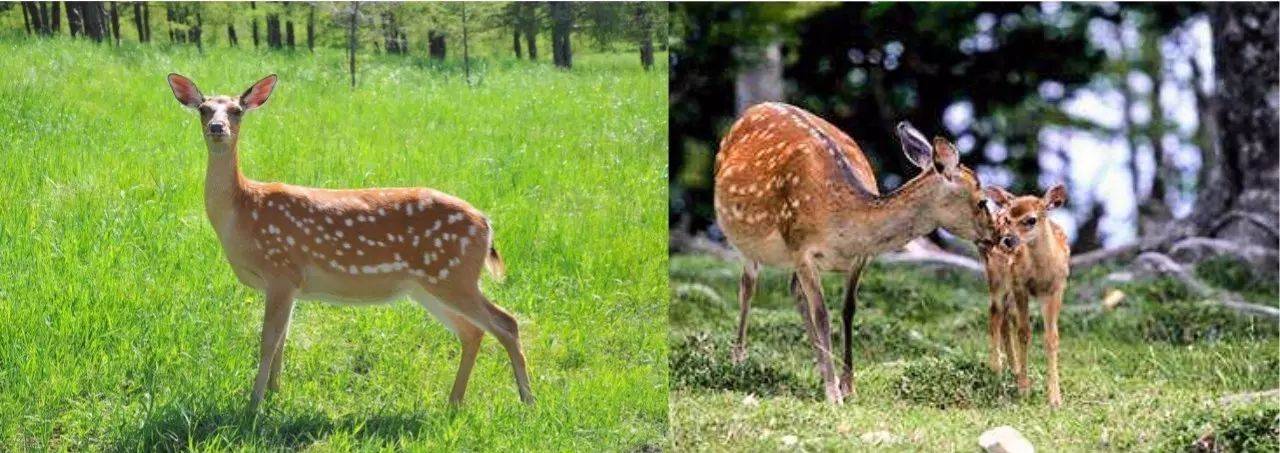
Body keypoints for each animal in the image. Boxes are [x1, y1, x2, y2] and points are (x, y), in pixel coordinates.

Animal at [166, 73, 535, 409]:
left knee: (506, 322)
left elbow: (268, 340)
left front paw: (253, 404)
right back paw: (455, 402)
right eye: (203, 109)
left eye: (237, 110)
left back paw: (527, 401)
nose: (217, 128)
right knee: (473, 331)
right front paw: (275, 394)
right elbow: (283, 339)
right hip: (428, 284)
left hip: (454, 275)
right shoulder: (291, 284)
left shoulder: (282, 270)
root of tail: (486, 223)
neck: (242, 211)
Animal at [711, 102, 998, 404]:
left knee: (794, 290)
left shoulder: (859, 258)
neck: (842, 221)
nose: (1000, 235)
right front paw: (832, 394)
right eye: (982, 201)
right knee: (747, 287)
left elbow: (848, 310)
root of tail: (754, 108)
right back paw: (738, 361)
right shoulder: (801, 248)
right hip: (746, 239)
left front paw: (847, 385)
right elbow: (822, 315)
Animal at [977, 184, 1070, 406]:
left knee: (1004, 319)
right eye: (1008, 219)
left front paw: (1055, 398)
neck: (1042, 270)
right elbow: (1024, 333)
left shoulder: (1056, 289)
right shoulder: (1020, 286)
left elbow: (1051, 337)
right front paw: (1024, 390)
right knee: (994, 315)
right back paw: (997, 369)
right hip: (997, 279)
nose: (1007, 240)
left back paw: (1014, 369)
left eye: (1031, 219)